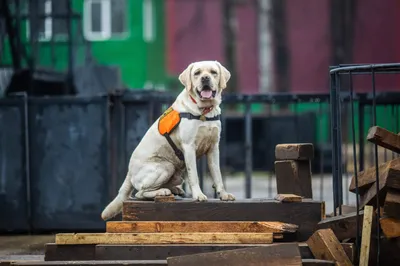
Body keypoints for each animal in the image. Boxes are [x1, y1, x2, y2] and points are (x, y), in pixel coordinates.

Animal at [101, 60, 236, 220]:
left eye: (213, 72)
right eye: (197, 73)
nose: (205, 78)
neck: (204, 111)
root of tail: (129, 172)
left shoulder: (214, 148)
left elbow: (218, 174)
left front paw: (223, 194)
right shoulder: (189, 147)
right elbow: (194, 175)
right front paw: (198, 195)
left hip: (176, 174)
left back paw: (174, 190)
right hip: (166, 166)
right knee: (139, 193)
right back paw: (162, 192)